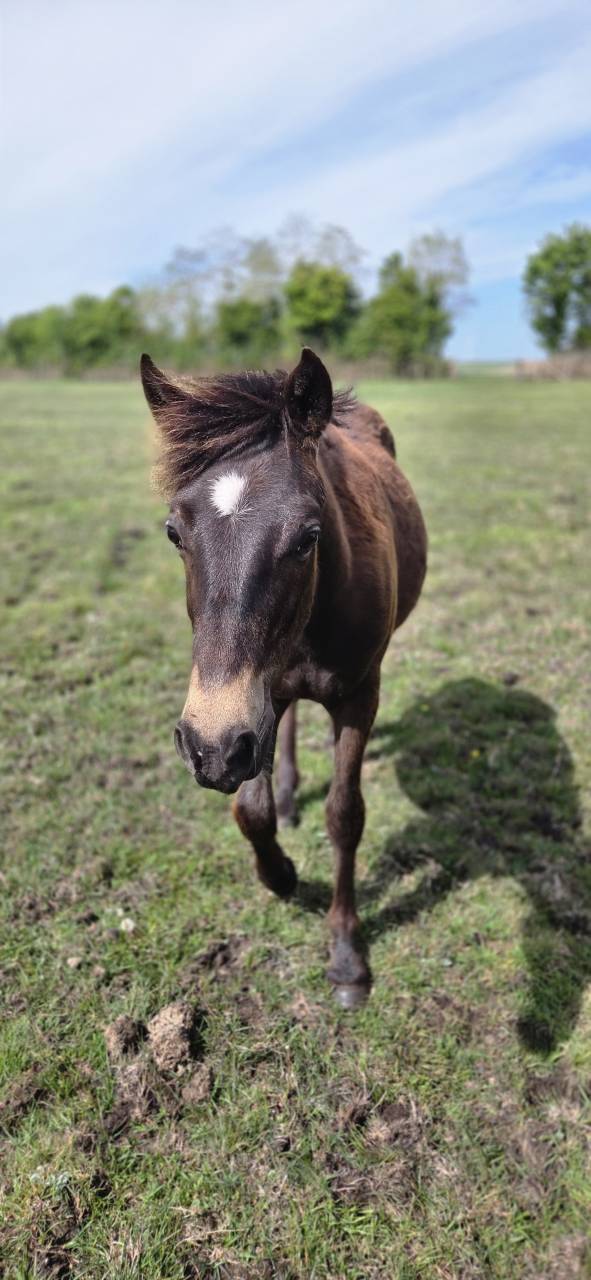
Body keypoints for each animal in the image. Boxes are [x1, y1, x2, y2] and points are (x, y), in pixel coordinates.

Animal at [141, 347, 427, 1006]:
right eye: (174, 532)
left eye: (308, 536)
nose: (207, 747)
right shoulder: (250, 705)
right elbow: (251, 811)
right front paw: (281, 875)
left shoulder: (358, 696)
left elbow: (346, 816)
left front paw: (347, 955)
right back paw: (291, 793)